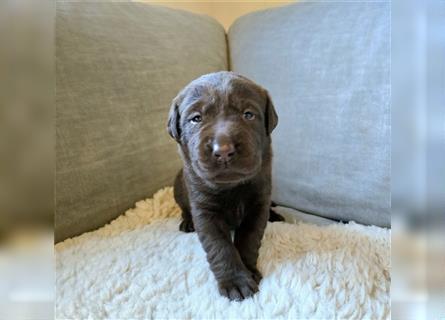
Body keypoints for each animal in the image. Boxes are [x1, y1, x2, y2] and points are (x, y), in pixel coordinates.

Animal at [166, 71, 280, 302]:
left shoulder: (259, 202)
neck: (231, 186)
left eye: (248, 115)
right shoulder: (205, 211)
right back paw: (187, 222)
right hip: (178, 188)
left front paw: (249, 271)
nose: (224, 150)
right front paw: (235, 281)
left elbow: (250, 238)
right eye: (196, 118)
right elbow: (220, 247)